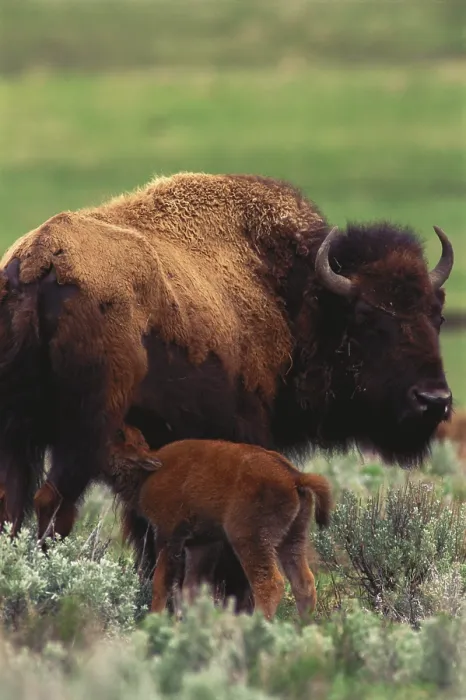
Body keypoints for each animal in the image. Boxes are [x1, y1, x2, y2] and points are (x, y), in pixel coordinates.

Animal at [0, 172, 454, 596]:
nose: (434, 400)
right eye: (366, 318)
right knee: (52, 503)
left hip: (20, 436)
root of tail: (38, 264)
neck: (289, 294)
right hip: (82, 436)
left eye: (437, 315)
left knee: (14, 503)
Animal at [104, 425, 332, 621]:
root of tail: (294, 476)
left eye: (121, 438)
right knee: (303, 584)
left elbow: (161, 583)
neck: (150, 471)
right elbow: (191, 589)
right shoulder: (201, 544)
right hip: (293, 538)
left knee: (269, 584)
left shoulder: (168, 536)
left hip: (249, 540)